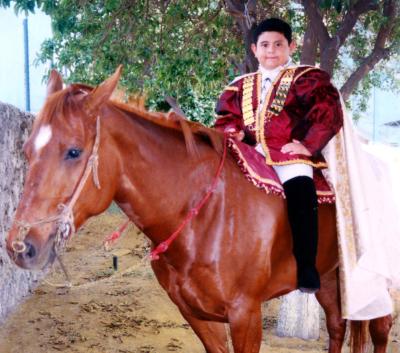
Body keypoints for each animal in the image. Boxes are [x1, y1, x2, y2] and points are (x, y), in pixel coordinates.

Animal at [6, 66, 394, 352]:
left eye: (73, 151)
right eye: (26, 150)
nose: (19, 246)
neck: (205, 216)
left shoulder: (246, 315)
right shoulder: (197, 316)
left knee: (380, 330)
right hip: (330, 277)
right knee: (338, 326)